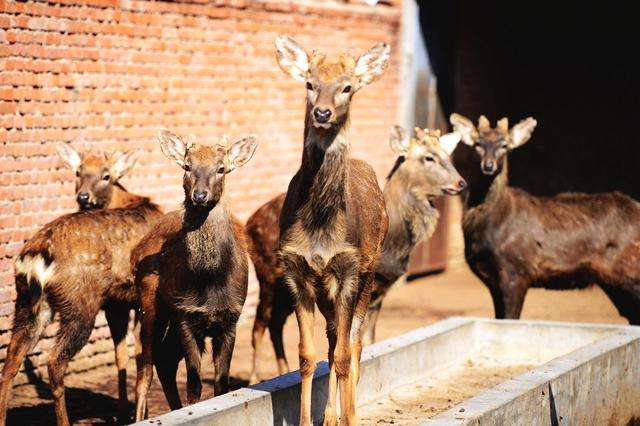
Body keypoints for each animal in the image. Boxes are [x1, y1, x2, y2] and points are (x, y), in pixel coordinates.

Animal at [0, 145, 164, 424]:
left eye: (106, 175)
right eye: (78, 172)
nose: (83, 197)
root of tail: (36, 256)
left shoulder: (117, 303)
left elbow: (121, 356)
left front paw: (123, 414)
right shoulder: (142, 298)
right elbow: (143, 360)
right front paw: (139, 415)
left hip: (27, 302)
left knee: (11, 359)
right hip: (79, 302)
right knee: (55, 361)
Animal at [132, 129, 255, 420]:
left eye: (222, 168)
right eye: (187, 166)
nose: (200, 195)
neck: (210, 283)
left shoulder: (231, 317)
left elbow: (222, 383)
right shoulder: (186, 315)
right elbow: (194, 383)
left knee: (164, 359)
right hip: (149, 302)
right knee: (145, 365)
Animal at [246, 125, 464, 382]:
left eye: (447, 155)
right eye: (429, 157)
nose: (461, 183)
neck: (396, 248)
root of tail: (248, 223)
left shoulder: (380, 290)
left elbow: (367, 338)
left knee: (276, 323)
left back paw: (282, 370)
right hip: (268, 276)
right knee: (259, 324)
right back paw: (252, 378)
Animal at [276, 36, 390, 426]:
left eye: (347, 87)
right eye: (309, 83)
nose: (322, 113)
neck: (320, 231)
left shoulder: (349, 268)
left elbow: (343, 354)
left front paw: (350, 417)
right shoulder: (295, 271)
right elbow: (307, 356)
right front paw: (309, 419)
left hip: (370, 271)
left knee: (353, 344)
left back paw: (350, 413)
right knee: (331, 340)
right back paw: (330, 416)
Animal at [450, 113, 640, 322]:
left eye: (504, 145)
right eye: (477, 144)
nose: (488, 165)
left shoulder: (516, 272)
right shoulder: (493, 281)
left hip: (631, 271)